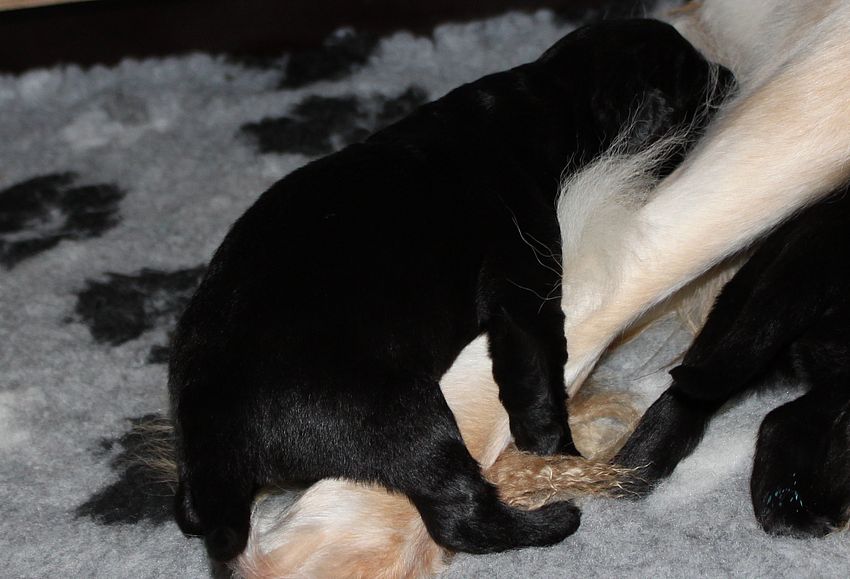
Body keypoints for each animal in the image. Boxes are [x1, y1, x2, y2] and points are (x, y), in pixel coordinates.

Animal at [168, 18, 727, 566]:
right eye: (694, 80)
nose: (729, 74)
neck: (548, 100)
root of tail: (220, 429)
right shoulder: (525, 275)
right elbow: (538, 372)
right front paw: (559, 451)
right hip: (408, 423)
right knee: (459, 515)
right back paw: (552, 522)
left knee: (188, 509)